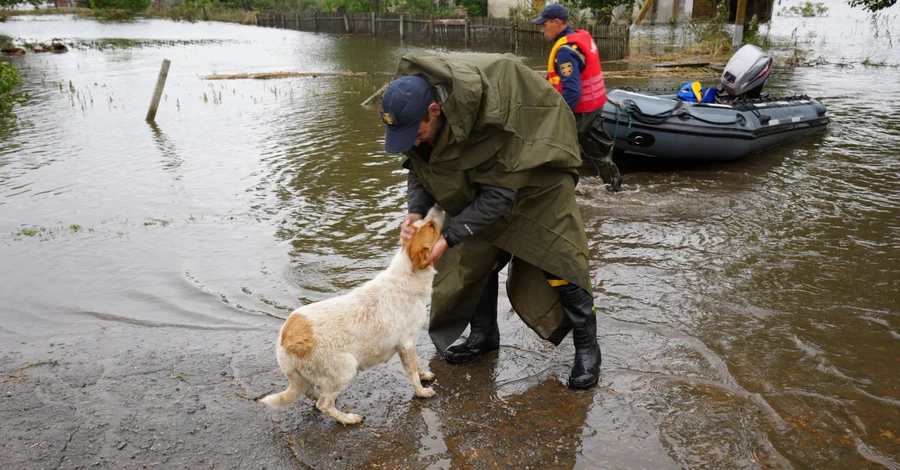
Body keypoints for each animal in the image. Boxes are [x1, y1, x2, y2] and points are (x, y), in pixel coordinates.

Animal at [258, 207, 444, 424]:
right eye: (431, 226)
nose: (437, 207)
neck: (405, 279)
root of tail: (284, 342)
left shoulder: (409, 344)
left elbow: (418, 363)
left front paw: (424, 376)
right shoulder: (405, 344)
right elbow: (412, 374)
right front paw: (422, 392)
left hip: (309, 377)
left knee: (311, 393)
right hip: (346, 368)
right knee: (323, 404)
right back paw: (347, 418)